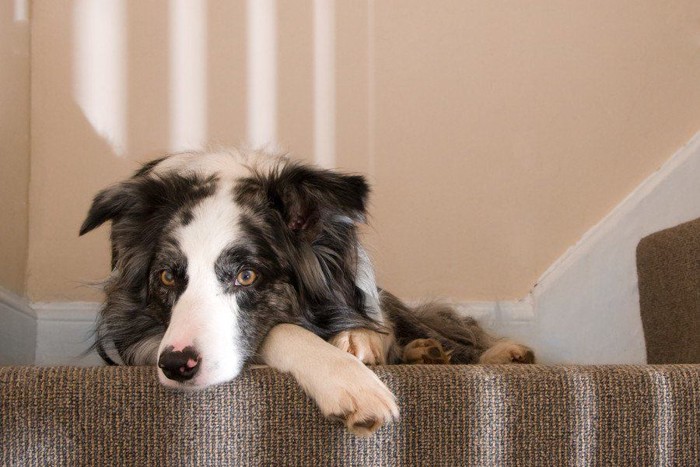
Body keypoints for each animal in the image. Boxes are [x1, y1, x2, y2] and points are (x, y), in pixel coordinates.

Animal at [79, 149, 532, 436]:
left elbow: (371, 324)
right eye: (168, 278)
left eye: (247, 276)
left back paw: (487, 352)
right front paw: (348, 380)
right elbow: (282, 330)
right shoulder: (140, 336)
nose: (176, 366)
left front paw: (360, 341)